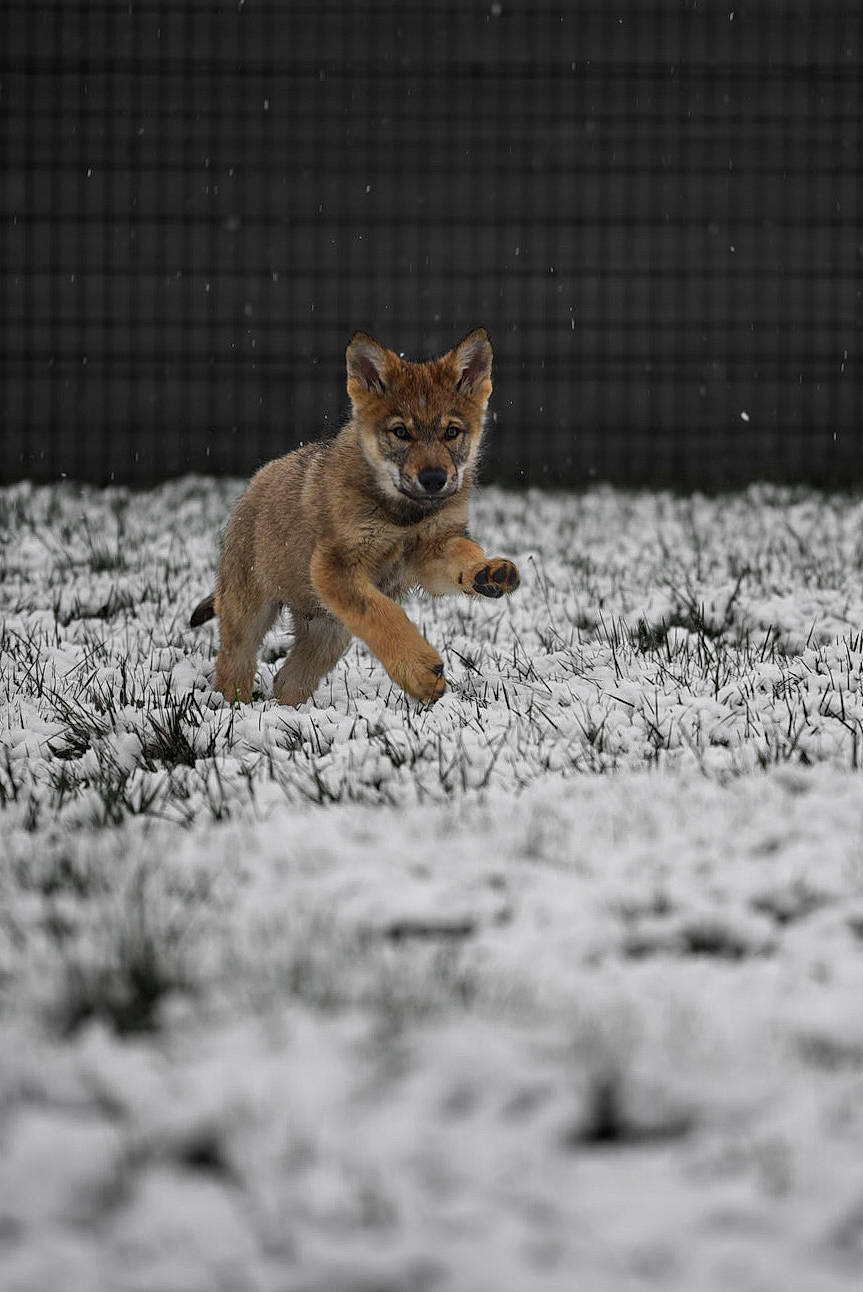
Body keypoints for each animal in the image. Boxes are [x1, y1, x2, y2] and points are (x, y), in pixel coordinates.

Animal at [190, 327, 520, 706]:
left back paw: (290, 712)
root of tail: (252, 485)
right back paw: (231, 707)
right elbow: (383, 614)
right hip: (249, 614)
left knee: (288, 680)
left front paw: (487, 571)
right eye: (401, 432)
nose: (434, 479)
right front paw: (420, 671)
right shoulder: (337, 567)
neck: (403, 515)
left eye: (451, 432)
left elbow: (462, 552)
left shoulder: (431, 550)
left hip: (327, 631)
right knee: (234, 664)